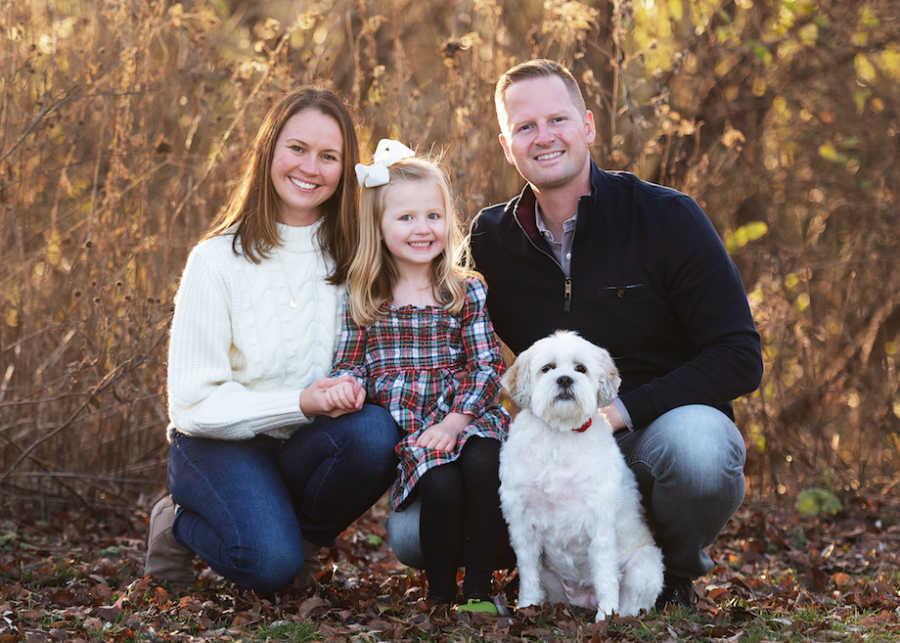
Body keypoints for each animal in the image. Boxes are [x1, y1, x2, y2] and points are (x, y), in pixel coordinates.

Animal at [496, 330, 664, 620]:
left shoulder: (600, 523)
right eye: (547, 368)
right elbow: (528, 573)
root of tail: (581, 598)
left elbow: (605, 575)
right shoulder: (522, 523)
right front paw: (527, 606)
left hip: (645, 567)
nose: (565, 379)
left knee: (632, 600)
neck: (560, 434)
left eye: (581, 368)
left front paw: (606, 616)